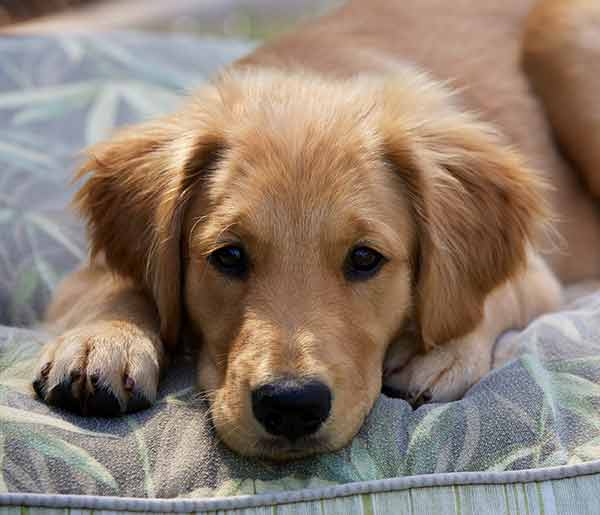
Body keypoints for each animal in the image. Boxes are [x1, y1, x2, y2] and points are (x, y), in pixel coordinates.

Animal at [31, 0, 600, 460]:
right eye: (228, 256)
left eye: (365, 258)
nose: (290, 406)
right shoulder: (83, 273)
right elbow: (119, 284)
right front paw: (104, 339)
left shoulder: (537, 273)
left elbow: (485, 298)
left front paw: (439, 351)